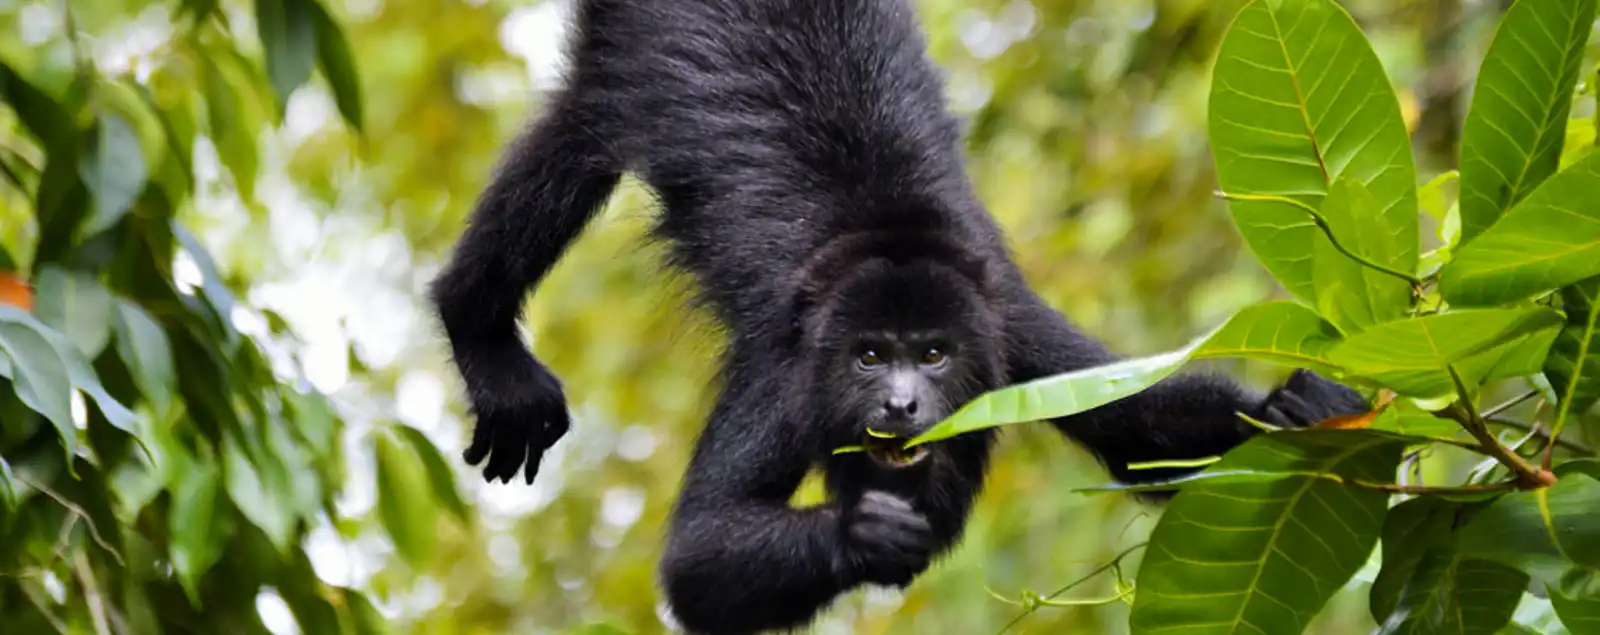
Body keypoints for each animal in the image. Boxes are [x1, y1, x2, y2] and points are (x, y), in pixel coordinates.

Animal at [427, 0, 1370, 633]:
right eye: (870, 356)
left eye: (936, 353)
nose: (902, 403)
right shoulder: (785, 369)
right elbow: (695, 563)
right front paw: (861, 530)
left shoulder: (1010, 333)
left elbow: (1142, 421)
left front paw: (1296, 403)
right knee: (579, 130)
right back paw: (479, 329)